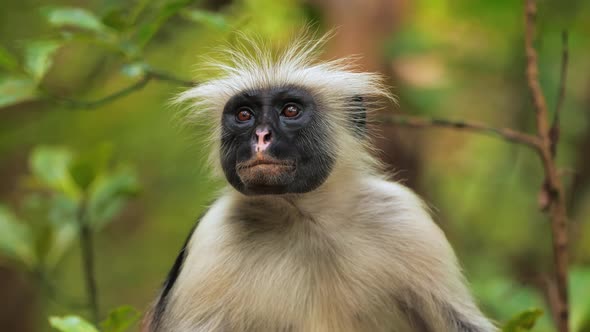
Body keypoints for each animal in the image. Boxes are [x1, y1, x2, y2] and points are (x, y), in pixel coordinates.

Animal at [145, 33, 500, 332]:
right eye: (244, 115)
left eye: (290, 110)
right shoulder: (212, 239)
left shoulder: (401, 217)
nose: (261, 137)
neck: (304, 216)